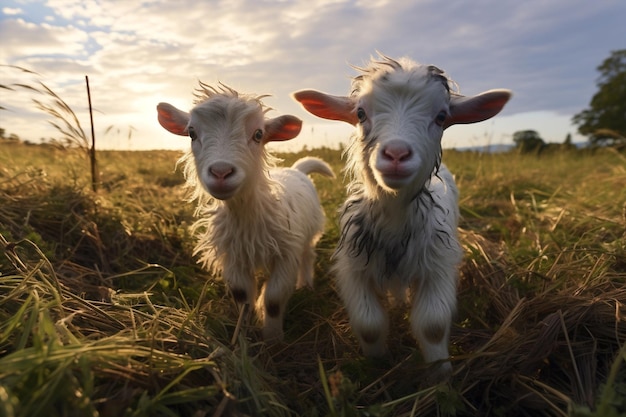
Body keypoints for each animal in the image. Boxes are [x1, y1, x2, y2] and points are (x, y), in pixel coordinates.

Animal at [157, 82, 332, 342]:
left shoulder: (286, 253)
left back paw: (306, 285)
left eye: (258, 134)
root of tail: (296, 169)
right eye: (191, 133)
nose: (221, 172)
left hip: (309, 234)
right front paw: (245, 335)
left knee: (308, 256)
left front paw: (273, 338)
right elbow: (242, 297)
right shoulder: (233, 257)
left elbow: (274, 299)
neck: (247, 215)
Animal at [294, 55, 510, 374]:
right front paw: (376, 363)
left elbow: (432, 325)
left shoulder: (438, 265)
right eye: (360, 113)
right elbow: (369, 324)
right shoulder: (353, 267)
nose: (396, 154)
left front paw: (440, 373)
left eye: (441, 117)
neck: (395, 218)